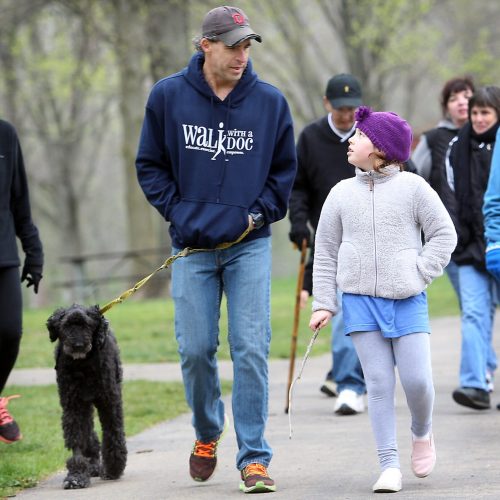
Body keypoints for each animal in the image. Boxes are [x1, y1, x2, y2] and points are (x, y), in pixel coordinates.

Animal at [46, 304, 127, 488]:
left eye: (87, 325)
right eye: (66, 326)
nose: (78, 345)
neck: (82, 364)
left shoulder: (109, 401)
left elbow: (113, 432)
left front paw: (113, 468)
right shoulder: (73, 405)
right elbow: (76, 438)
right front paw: (76, 475)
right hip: (85, 404)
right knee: (89, 433)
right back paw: (92, 465)